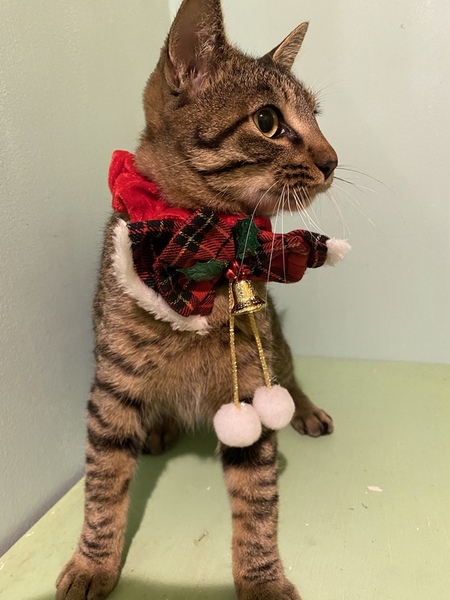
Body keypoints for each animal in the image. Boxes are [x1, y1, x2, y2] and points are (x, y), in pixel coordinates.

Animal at [56, 1, 338, 599]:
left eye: (317, 117)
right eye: (268, 121)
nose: (333, 160)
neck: (206, 250)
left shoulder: (253, 384)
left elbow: (257, 502)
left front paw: (261, 577)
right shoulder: (112, 390)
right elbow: (102, 489)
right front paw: (93, 562)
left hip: (275, 348)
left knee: (291, 377)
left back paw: (305, 410)